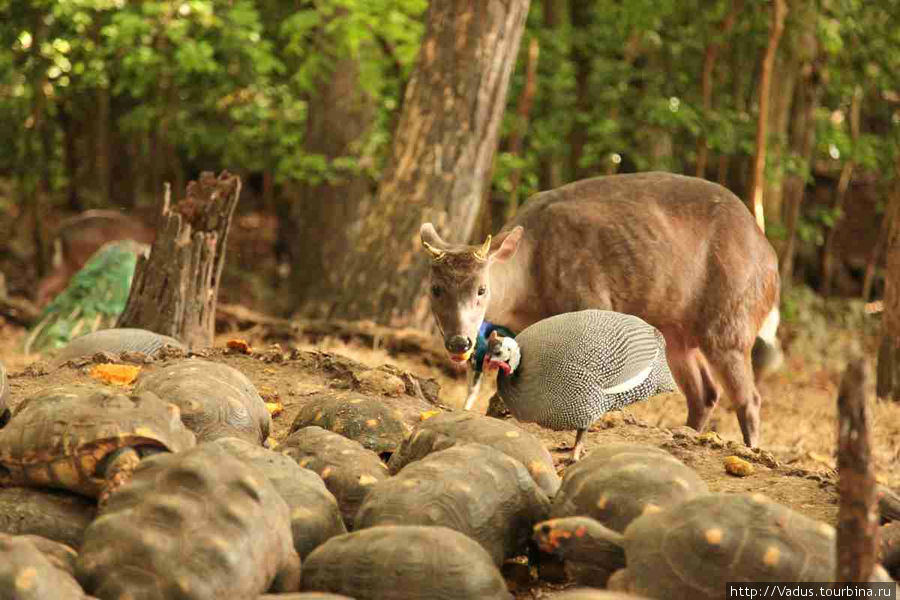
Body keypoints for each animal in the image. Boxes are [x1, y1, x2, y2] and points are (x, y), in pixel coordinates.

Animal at [422, 171, 780, 448]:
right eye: (435, 288)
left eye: (482, 289)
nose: (460, 342)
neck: (528, 286)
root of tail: (771, 260)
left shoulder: (591, 298)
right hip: (677, 332)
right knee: (705, 393)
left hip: (731, 316)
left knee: (748, 397)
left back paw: (750, 448)